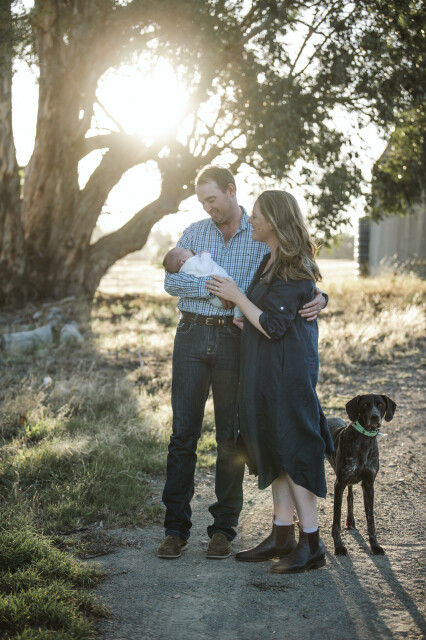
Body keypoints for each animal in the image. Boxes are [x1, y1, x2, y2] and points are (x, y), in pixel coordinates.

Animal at [327, 394, 397, 556]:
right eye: (365, 404)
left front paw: (375, 545)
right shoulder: (339, 484)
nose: (375, 417)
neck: (364, 439)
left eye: (380, 404)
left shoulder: (369, 485)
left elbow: (371, 520)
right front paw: (339, 546)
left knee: (350, 496)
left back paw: (350, 521)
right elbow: (336, 519)